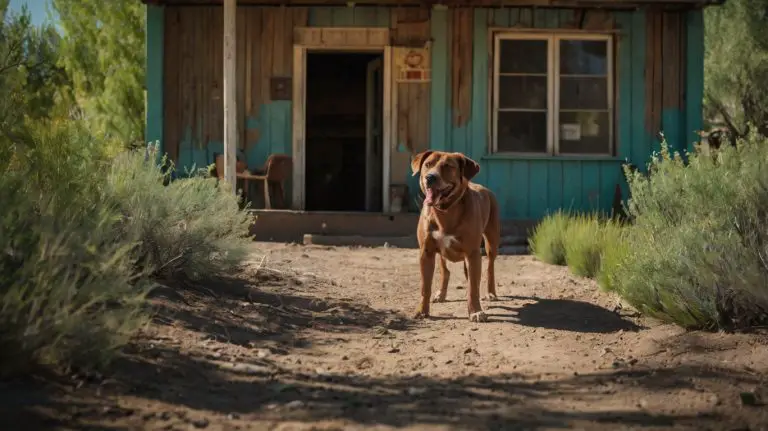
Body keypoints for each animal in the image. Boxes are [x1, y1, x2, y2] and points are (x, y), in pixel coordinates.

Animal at [412, 150, 500, 322]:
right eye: (427, 164)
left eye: (448, 166)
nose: (430, 177)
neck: (445, 211)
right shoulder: (426, 252)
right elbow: (425, 287)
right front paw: (422, 311)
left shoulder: (472, 253)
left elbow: (473, 287)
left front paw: (475, 311)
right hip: (442, 254)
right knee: (446, 271)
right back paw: (441, 294)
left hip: (491, 242)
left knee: (490, 267)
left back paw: (490, 293)